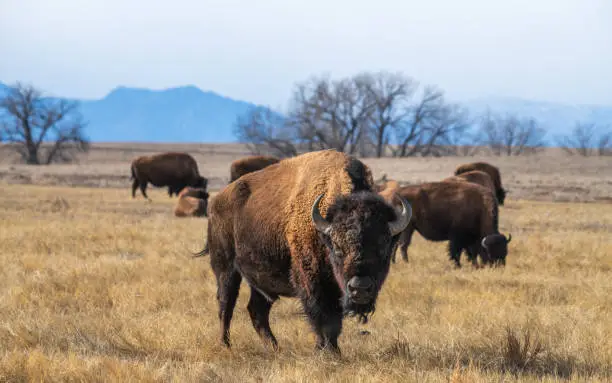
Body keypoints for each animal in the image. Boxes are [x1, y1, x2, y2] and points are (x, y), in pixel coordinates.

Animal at [198, 149, 414, 354]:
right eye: (337, 247)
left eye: (384, 246)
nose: (359, 288)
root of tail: (217, 201)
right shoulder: (311, 280)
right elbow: (323, 317)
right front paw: (327, 351)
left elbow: (334, 321)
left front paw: (332, 350)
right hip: (226, 269)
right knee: (226, 305)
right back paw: (225, 344)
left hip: (260, 280)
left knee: (257, 310)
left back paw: (275, 348)